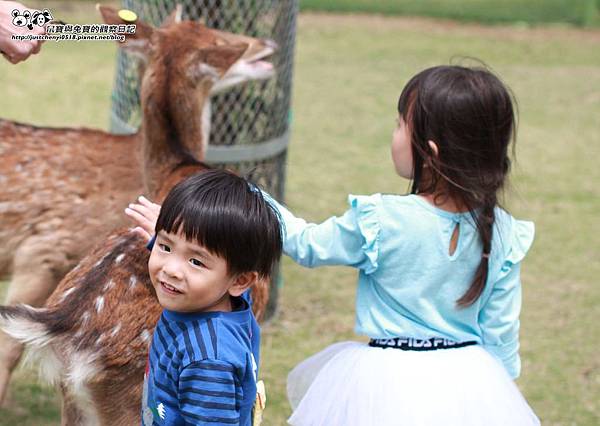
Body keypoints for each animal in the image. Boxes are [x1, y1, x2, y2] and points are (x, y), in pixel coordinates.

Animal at [0, 5, 276, 424]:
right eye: (217, 35)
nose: (266, 43)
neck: (178, 168)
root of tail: (68, 327)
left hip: (72, 400)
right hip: (139, 397)